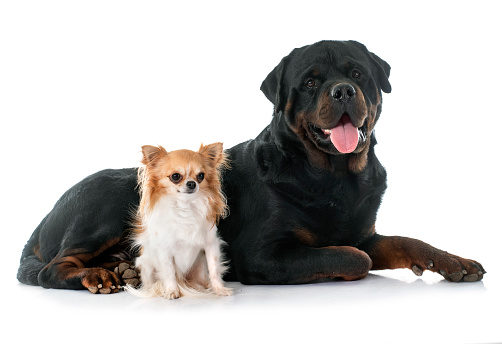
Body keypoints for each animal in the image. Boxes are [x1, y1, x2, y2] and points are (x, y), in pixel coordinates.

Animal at [127, 142, 233, 298]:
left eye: (201, 176)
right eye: (175, 176)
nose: (192, 183)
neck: (185, 206)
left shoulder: (210, 245)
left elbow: (214, 269)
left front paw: (219, 289)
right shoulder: (165, 250)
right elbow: (169, 272)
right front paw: (172, 291)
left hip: (199, 265)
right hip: (147, 264)